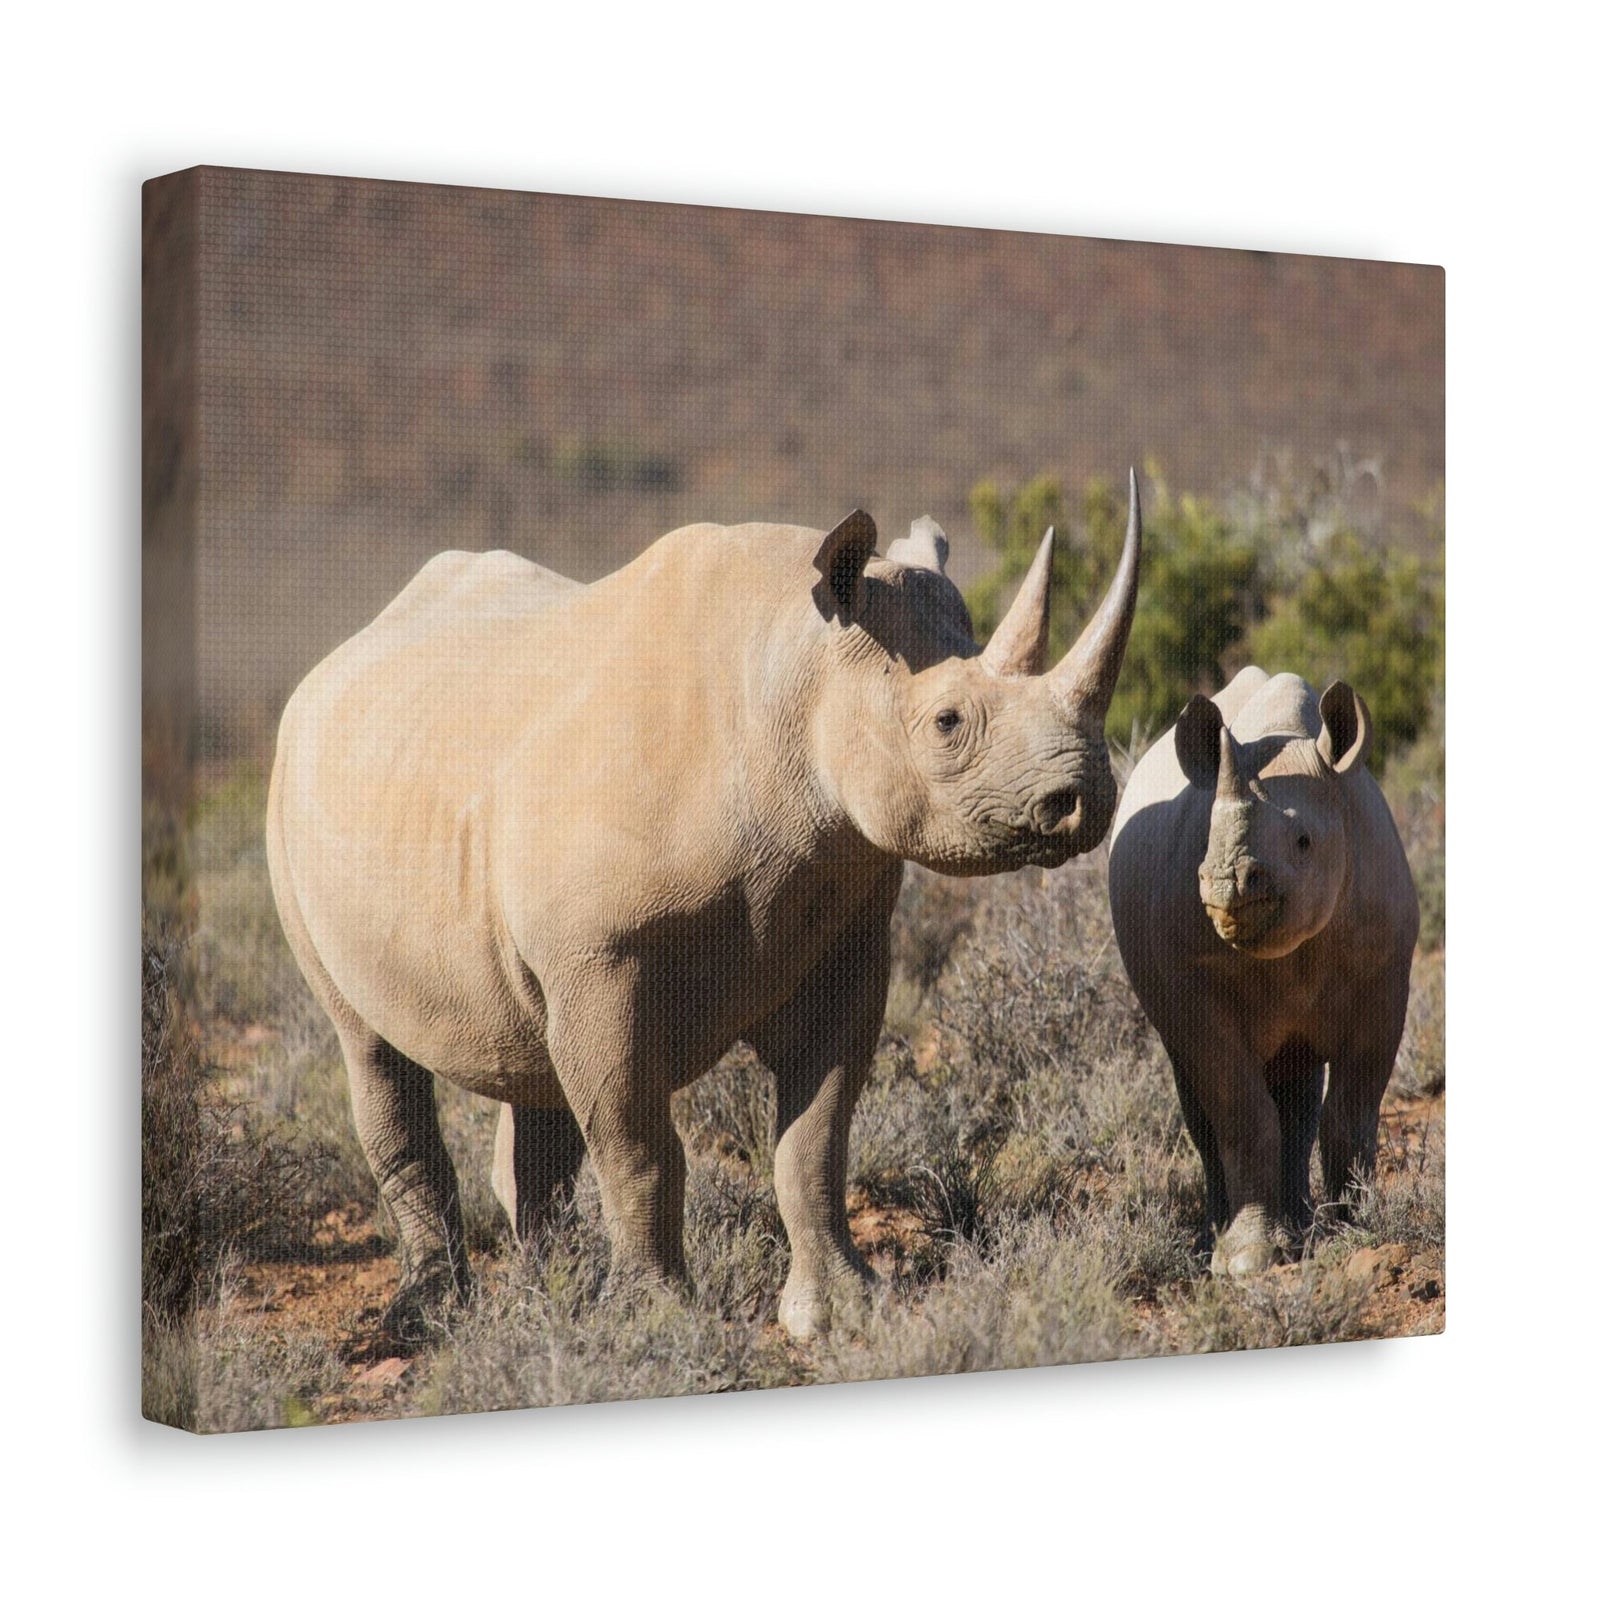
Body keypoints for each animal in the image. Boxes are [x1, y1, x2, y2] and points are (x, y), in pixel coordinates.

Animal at [267, 481, 1141, 1338]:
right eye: (948, 723)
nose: (1086, 799)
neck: (795, 676)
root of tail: (337, 658)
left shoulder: (845, 934)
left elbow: (815, 1139)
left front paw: (839, 1312)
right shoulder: (601, 959)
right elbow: (639, 1147)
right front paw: (654, 1322)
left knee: (528, 1058)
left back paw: (550, 1296)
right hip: (294, 804)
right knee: (368, 1045)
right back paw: (429, 1316)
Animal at [1108, 667, 1419, 1275]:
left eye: (1303, 842)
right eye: (1206, 839)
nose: (1225, 882)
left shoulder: (1385, 977)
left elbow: (1352, 1110)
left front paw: (1356, 1231)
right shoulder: (1192, 987)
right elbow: (1241, 1112)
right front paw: (1249, 1261)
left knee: (1297, 1084)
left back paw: (1301, 1229)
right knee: (1202, 1095)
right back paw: (1219, 1241)